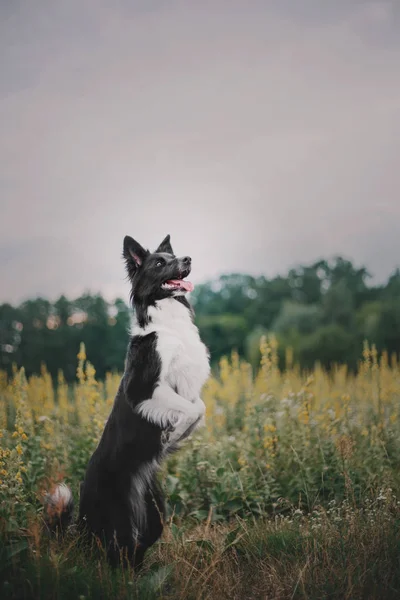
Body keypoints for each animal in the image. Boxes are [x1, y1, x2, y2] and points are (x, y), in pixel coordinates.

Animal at [45, 233, 211, 568]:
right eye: (159, 263)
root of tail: (81, 525)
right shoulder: (144, 389)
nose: (188, 259)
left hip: (152, 510)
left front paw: (177, 434)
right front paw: (173, 433)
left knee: (138, 544)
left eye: (171, 257)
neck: (168, 321)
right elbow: (189, 409)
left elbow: (198, 408)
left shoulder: (185, 387)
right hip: (119, 517)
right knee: (115, 552)